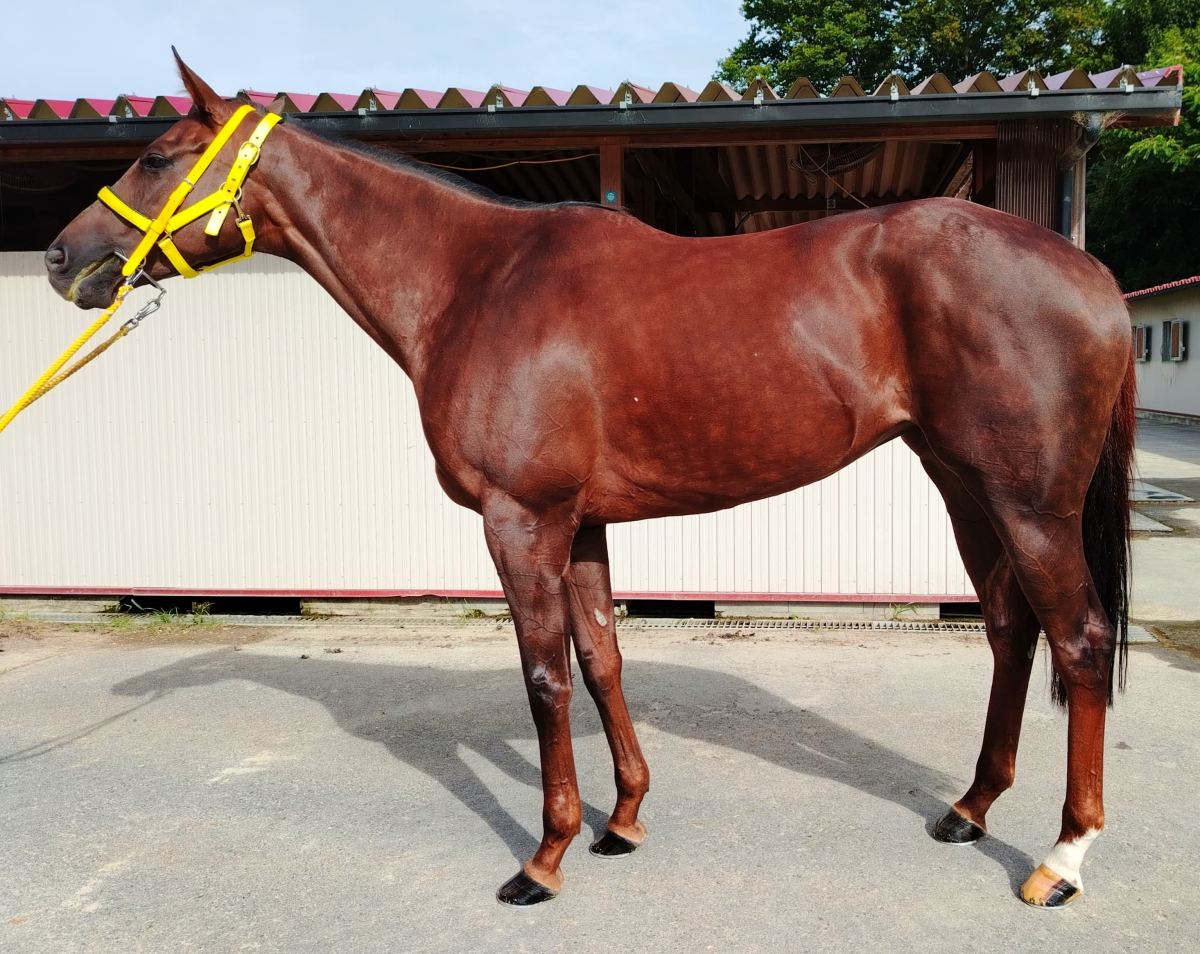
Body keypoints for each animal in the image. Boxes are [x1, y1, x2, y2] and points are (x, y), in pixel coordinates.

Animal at [43, 54, 1135, 909]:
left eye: (156, 155)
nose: (61, 258)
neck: (477, 283)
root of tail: (1092, 277)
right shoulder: (583, 525)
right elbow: (604, 659)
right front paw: (624, 820)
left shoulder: (520, 520)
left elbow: (545, 679)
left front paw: (547, 856)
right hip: (964, 487)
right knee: (1011, 630)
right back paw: (968, 808)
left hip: (1031, 504)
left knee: (1079, 641)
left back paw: (1063, 857)